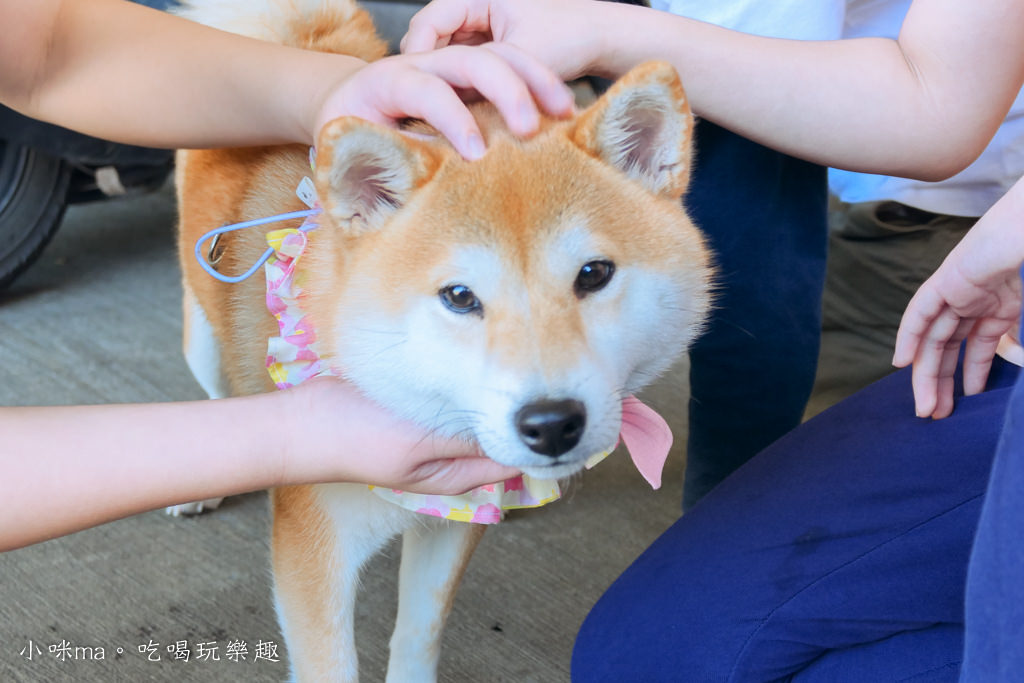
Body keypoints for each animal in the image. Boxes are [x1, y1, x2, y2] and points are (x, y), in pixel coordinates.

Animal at [169, 0, 712, 679]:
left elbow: (419, 631)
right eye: (459, 297)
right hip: (203, 347)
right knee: (220, 396)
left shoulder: (457, 513)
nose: (552, 423)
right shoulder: (315, 546)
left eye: (593, 274)